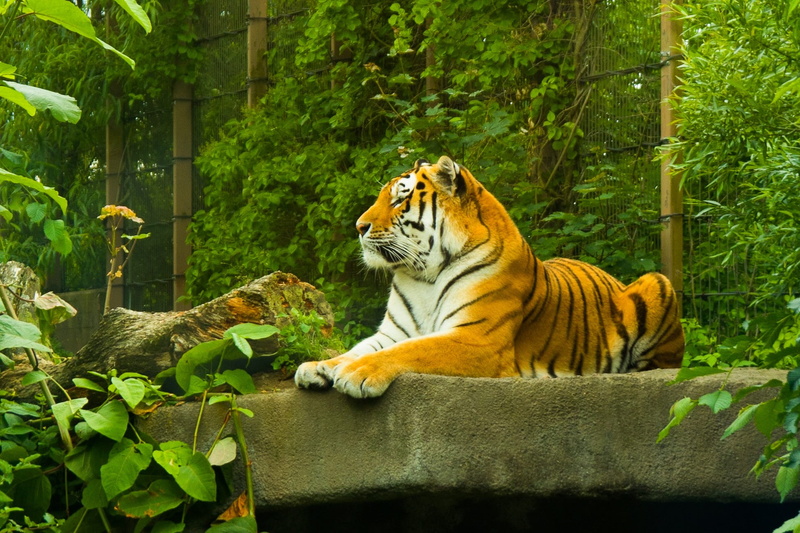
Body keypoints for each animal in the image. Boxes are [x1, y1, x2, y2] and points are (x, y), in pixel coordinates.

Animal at [294, 155, 685, 398]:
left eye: (398, 200)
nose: (358, 227)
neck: (422, 275)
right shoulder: (393, 332)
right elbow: (356, 349)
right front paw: (319, 367)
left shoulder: (477, 338)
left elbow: (411, 350)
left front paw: (355, 373)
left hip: (657, 283)